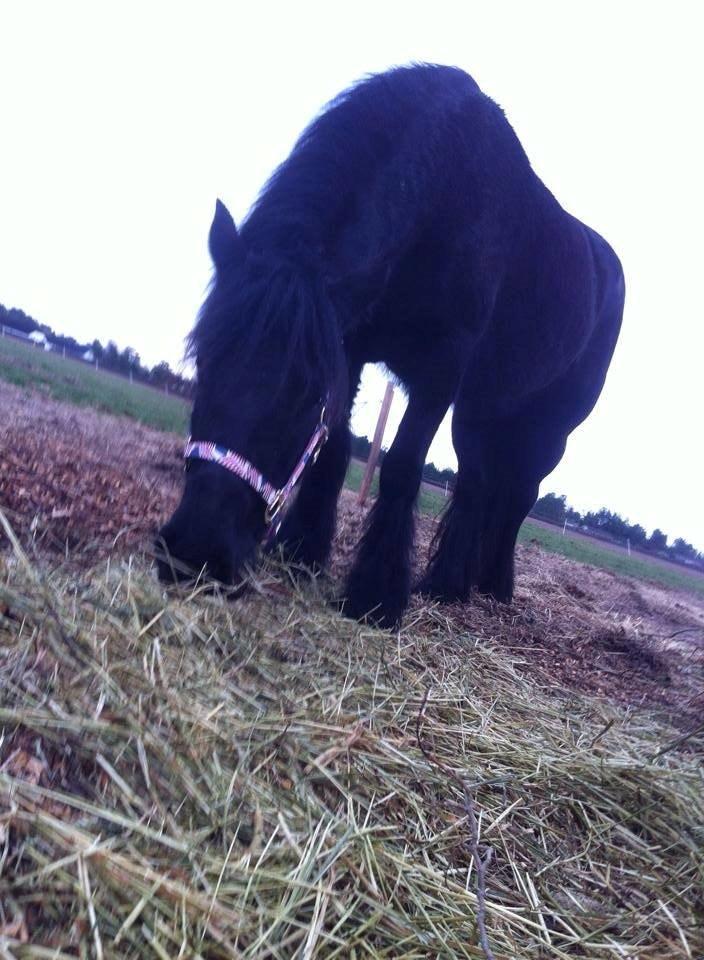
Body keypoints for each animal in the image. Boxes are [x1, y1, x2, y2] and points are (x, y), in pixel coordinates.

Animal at [157, 63, 625, 628]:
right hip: (483, 413)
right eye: (205, 364)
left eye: (306, 397)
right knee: (477, 484)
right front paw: (302, 553)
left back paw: (495, 585)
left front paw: (375, 596)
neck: (444, 198)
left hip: (549, 428)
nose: (193, 551)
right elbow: (336, 448)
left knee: (520, 496)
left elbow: (402, 466)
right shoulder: (350, 346)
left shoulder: (441, 371)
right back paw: (449, 584)